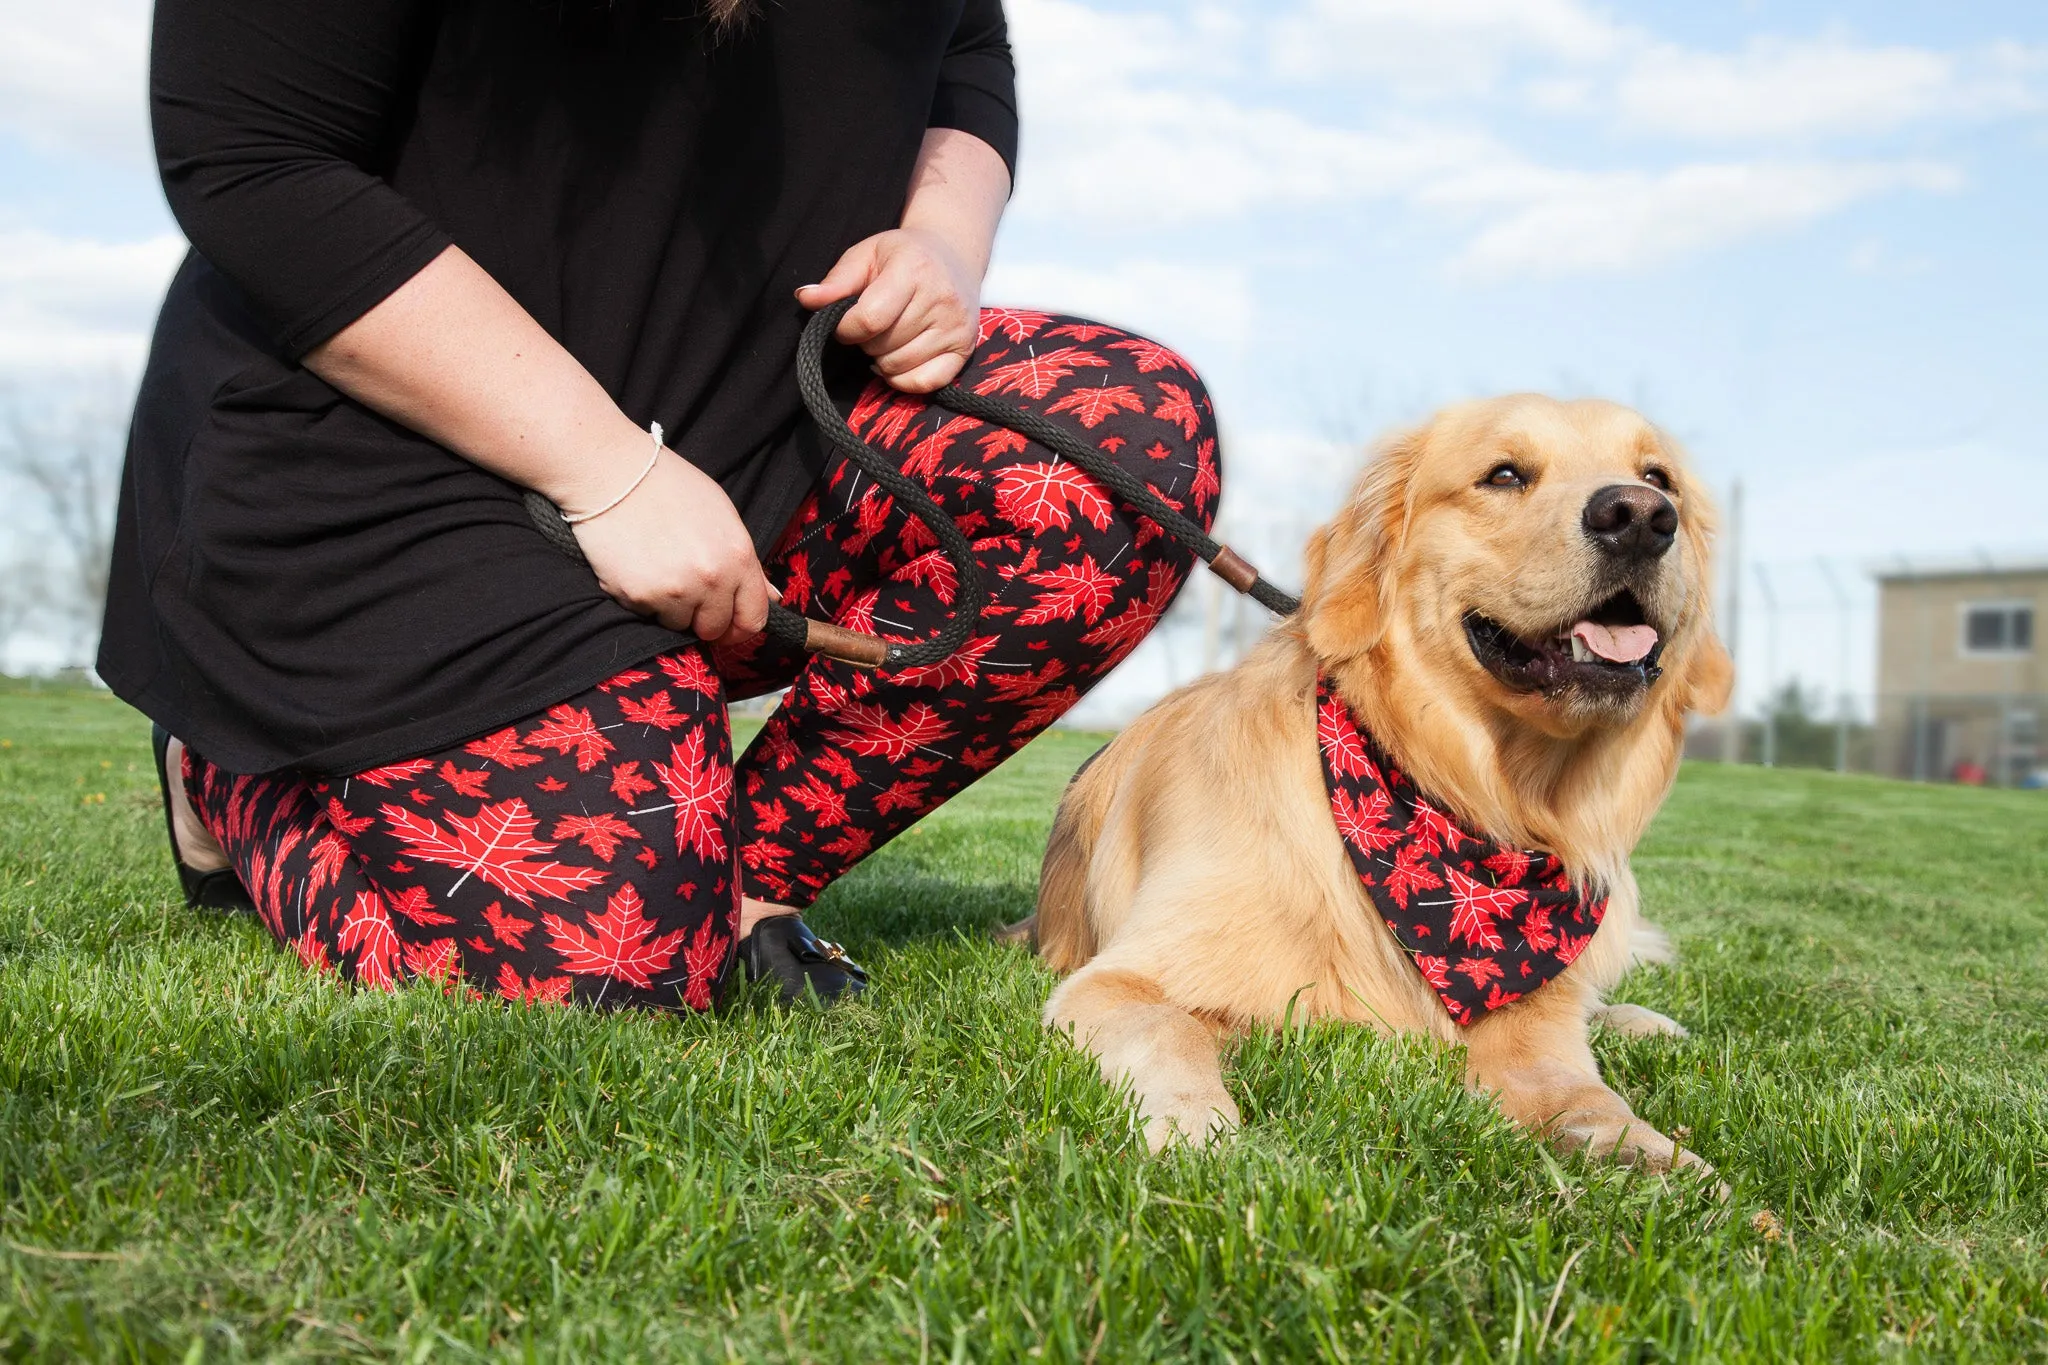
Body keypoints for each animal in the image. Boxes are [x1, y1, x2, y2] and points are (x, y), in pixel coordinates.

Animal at [1024, 388, 1728, 1170]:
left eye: (1659, 479)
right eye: (1504, 475)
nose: (1639, 517)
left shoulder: (1532, 1032)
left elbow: (1584, 1095)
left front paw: (1667, 1168)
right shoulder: (1119, 980)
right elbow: (1169, 1029)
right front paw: (1197, 1134)